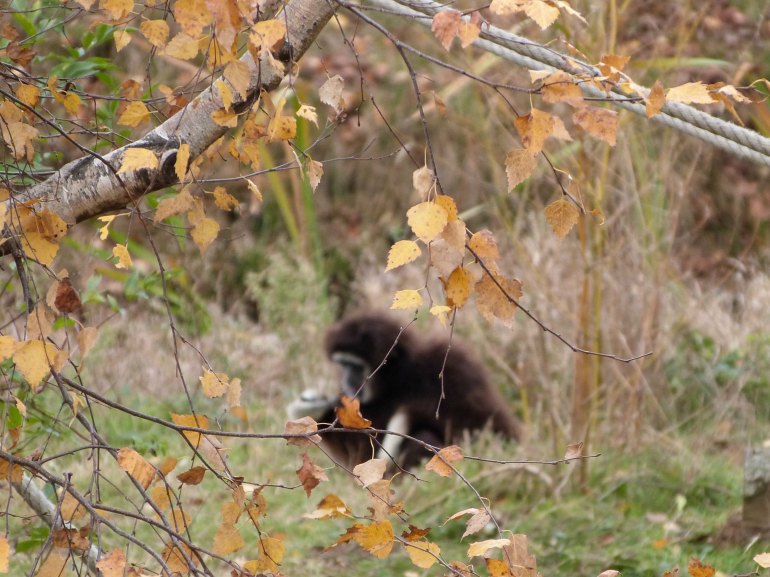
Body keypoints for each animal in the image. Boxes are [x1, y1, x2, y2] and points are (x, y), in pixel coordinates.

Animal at [287, 313, 521, 470]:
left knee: (425, 435)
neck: (401, 379)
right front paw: (312, 410)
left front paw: (413, 410)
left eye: (354, 366)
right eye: (342, 365)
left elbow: (495, 432)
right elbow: (362, 460)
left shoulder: (455, 364)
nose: (345, 379)